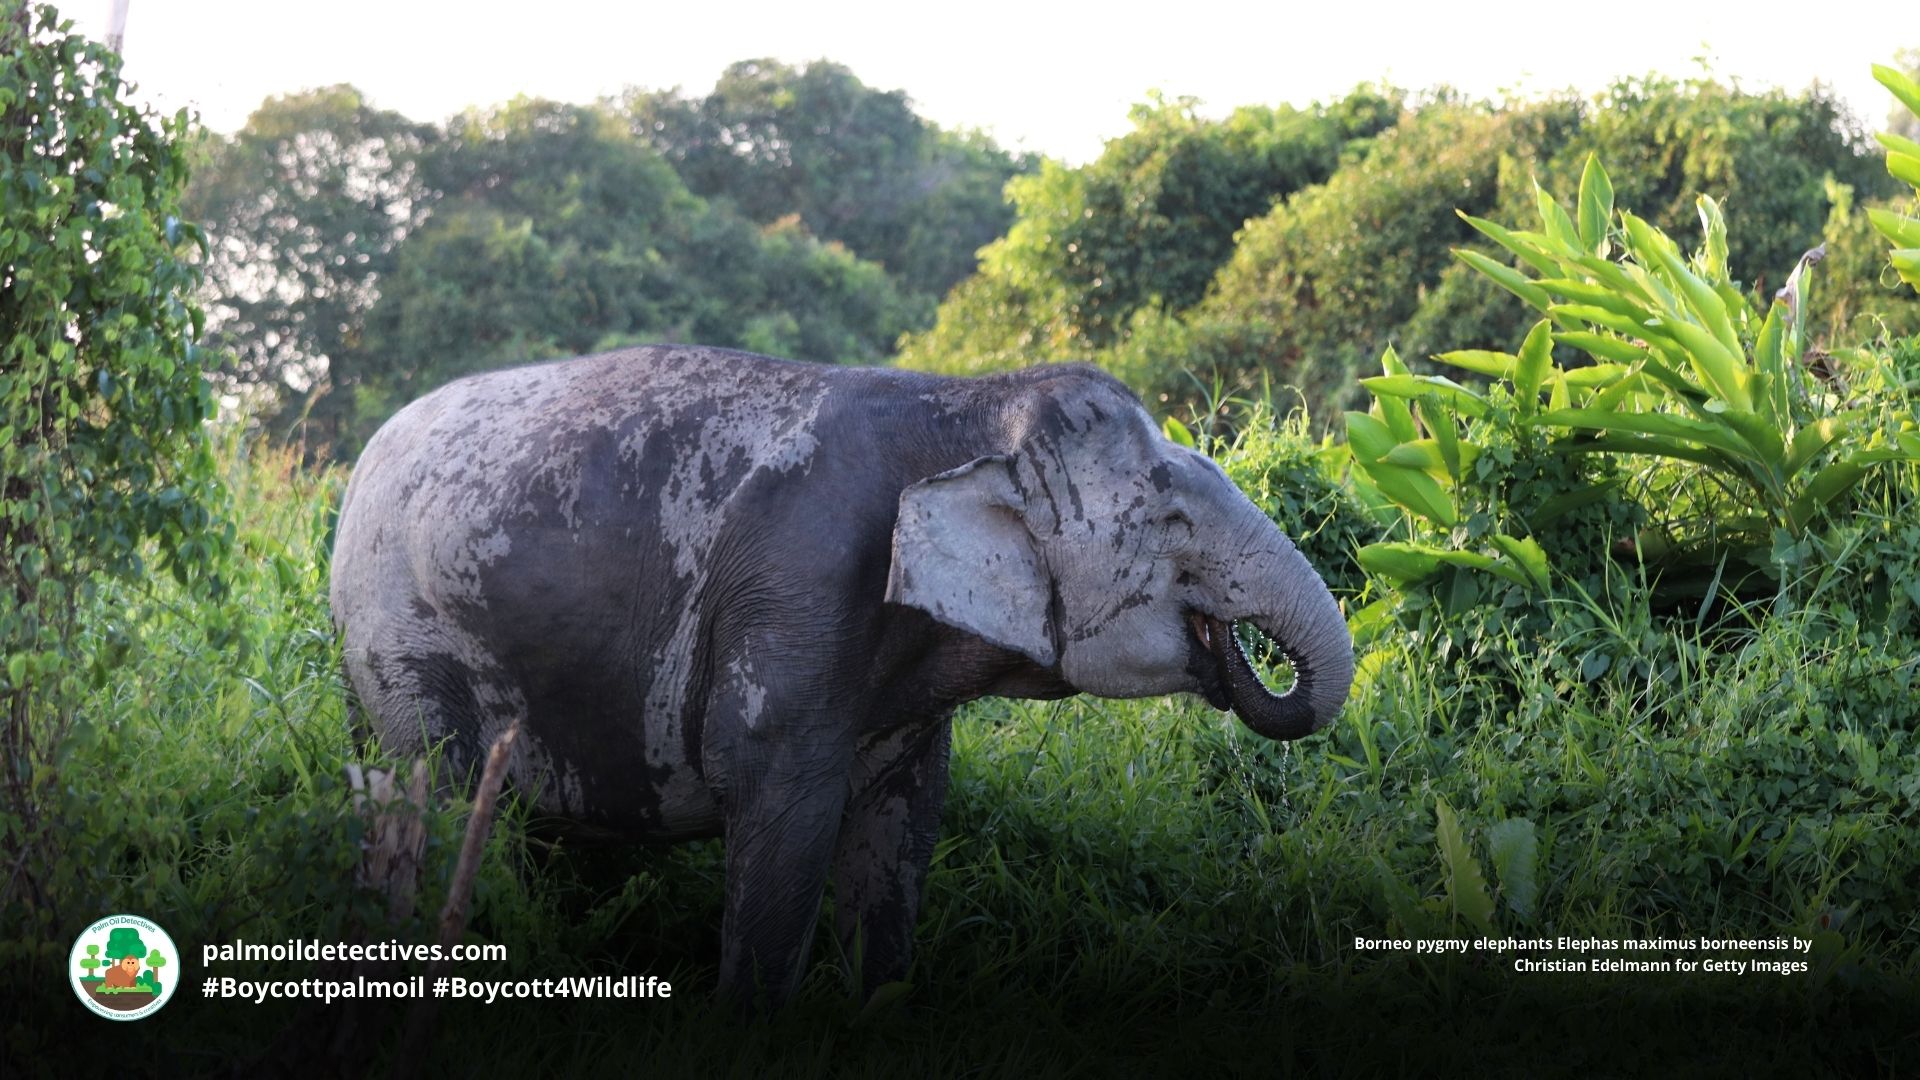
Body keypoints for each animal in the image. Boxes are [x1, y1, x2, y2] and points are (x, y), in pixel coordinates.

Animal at [329, 344, 1353, 1006]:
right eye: (1173, 525)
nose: (1240, 653)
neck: (966, 406)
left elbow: (903, 811)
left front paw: (875, 1010)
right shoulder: (800, 585)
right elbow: (781, 798)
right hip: (403, 635)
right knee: (443, 789)